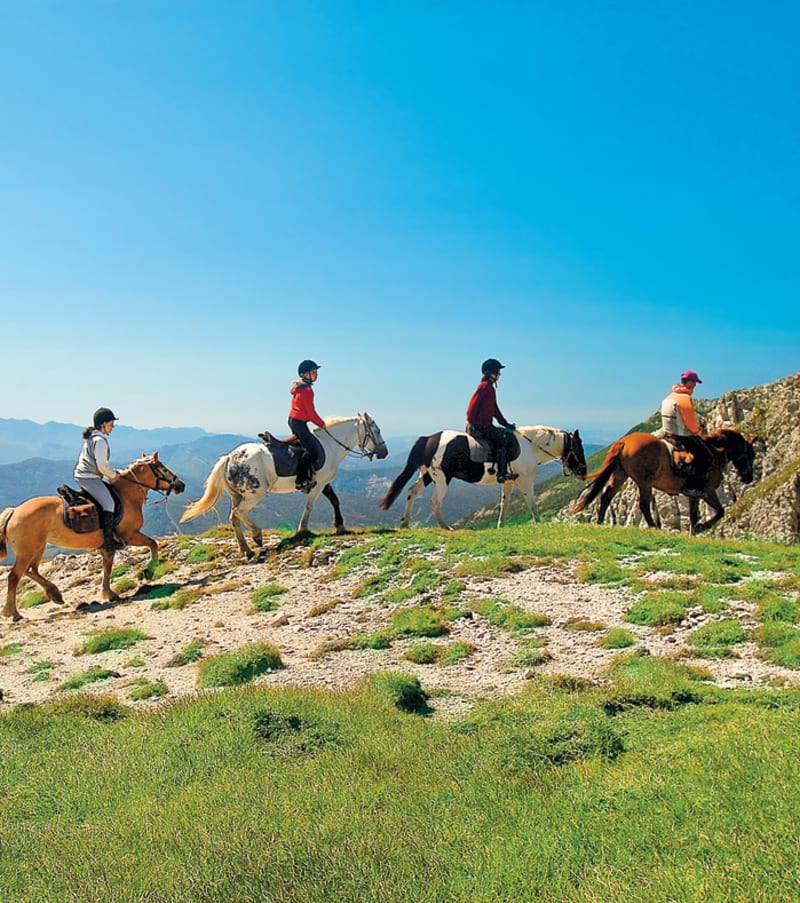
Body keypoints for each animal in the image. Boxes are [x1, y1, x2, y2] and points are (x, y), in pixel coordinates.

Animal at [0, 453, 185, 621]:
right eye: (163, 468)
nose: (181, 485)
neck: (126, 497)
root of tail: (14, 511)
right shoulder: (130, 535)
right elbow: (153, 544)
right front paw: (151, 569)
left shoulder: (108, 546)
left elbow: (107, 567)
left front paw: (109, 593)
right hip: (28, 550)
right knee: (14, 577)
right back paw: (13, 612)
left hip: (38, 547)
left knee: (31, 571)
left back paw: (55, 595)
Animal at [180, 414, 388, 557]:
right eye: (376, 431)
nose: (384, 452)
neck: (330, 445)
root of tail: (229, 458)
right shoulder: (318, 484)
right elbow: (310, 506)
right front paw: (302, 529)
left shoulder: (325, 482)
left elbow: (335, 501)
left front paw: (340, 526)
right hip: (254, 494)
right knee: (239, 512)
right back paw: (256, 535)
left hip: (237, 494)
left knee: (234, 518)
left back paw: (246, 549)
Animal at [379, 426, 587, 530]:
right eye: (578, 449)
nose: (584, 473)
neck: (531, 447)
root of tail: (429, 438)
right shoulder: (526, 482)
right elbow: (533, 504)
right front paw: (539, 523)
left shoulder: (509, 482)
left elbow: (504, 504)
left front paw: (500, 525)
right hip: (442, 479)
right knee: (435, 501)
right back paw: (445, 527)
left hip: (427, 475)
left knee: (411, 492)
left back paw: (405, 523)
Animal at [573, 428, 756, 535]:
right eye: (752, 454)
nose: (748, 477)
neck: (715, 453)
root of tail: (624, 442)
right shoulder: (708, 491)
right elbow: (719, 512)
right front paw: (701, 527)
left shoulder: (694, 494)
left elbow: (693, 515)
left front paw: (694, 531)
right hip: (644, 483)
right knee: (643, 505)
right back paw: (653, 526)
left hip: (620, 475)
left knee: (606, 496)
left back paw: (600, 521)